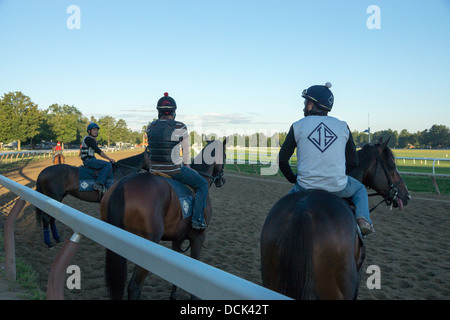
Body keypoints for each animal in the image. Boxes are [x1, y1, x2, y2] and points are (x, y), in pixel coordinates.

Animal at [100, 138, 227, 300]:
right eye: (225, 155)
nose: (222, 180)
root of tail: (121, 186)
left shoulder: (177, 238)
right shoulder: (198, 237)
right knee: (134, 287)